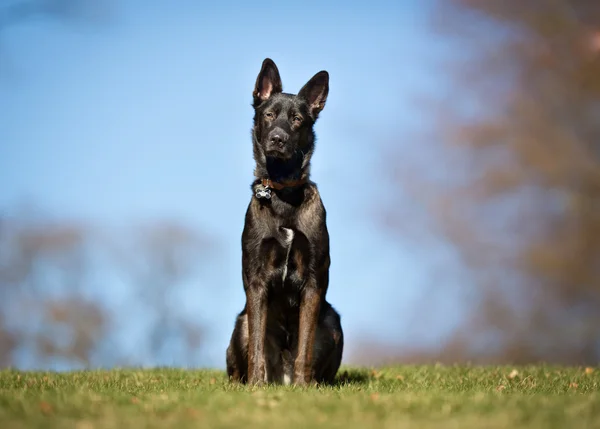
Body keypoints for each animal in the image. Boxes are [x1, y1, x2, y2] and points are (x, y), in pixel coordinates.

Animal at [225, 57, 344, 384]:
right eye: (268, 115)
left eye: (297, 120)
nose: (277, 139)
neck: (282, 193)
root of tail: (283, 378)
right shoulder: (257, 281)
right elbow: (257, 346)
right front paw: (256, 385)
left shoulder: (313, 282)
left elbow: (304, 344)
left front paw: (303, 386)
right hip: (240, 323)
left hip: (333, 323)